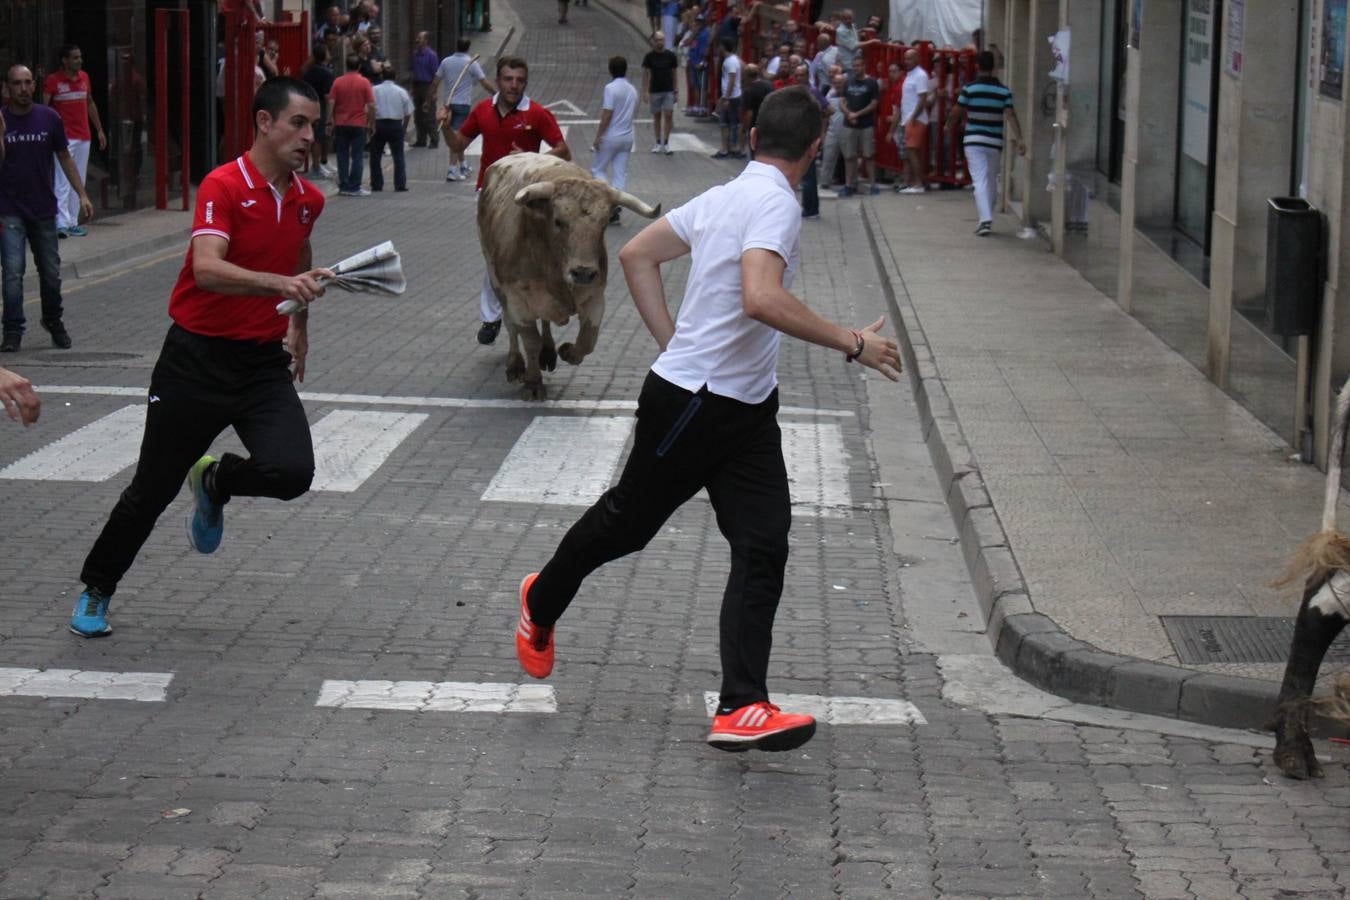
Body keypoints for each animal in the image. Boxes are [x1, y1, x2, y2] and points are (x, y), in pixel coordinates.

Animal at [477, 152, 661, 396]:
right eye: (558, 221)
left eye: (603, 223)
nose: (582, 272)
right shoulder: (517, 299)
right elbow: (529, 339)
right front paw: (533, 383)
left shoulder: (594, 296)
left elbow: (588, 339)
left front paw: (567, 352)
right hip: (495, 281)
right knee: (510, 325)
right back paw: (515, 365)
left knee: (545, 322)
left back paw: (549, 352)